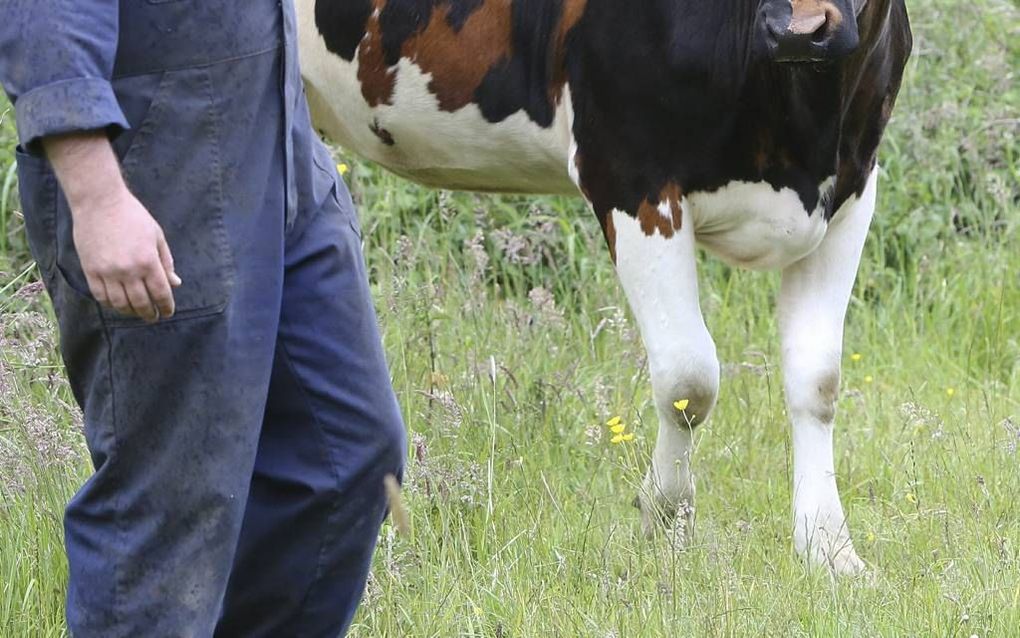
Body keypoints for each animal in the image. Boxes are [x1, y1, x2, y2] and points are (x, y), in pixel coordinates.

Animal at [297, 0, 913, 571]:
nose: (800, 29)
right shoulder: (632, 176)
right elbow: (689, 380)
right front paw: (665, 520)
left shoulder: (854, 187)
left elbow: (818, 382)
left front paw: (829, 550)